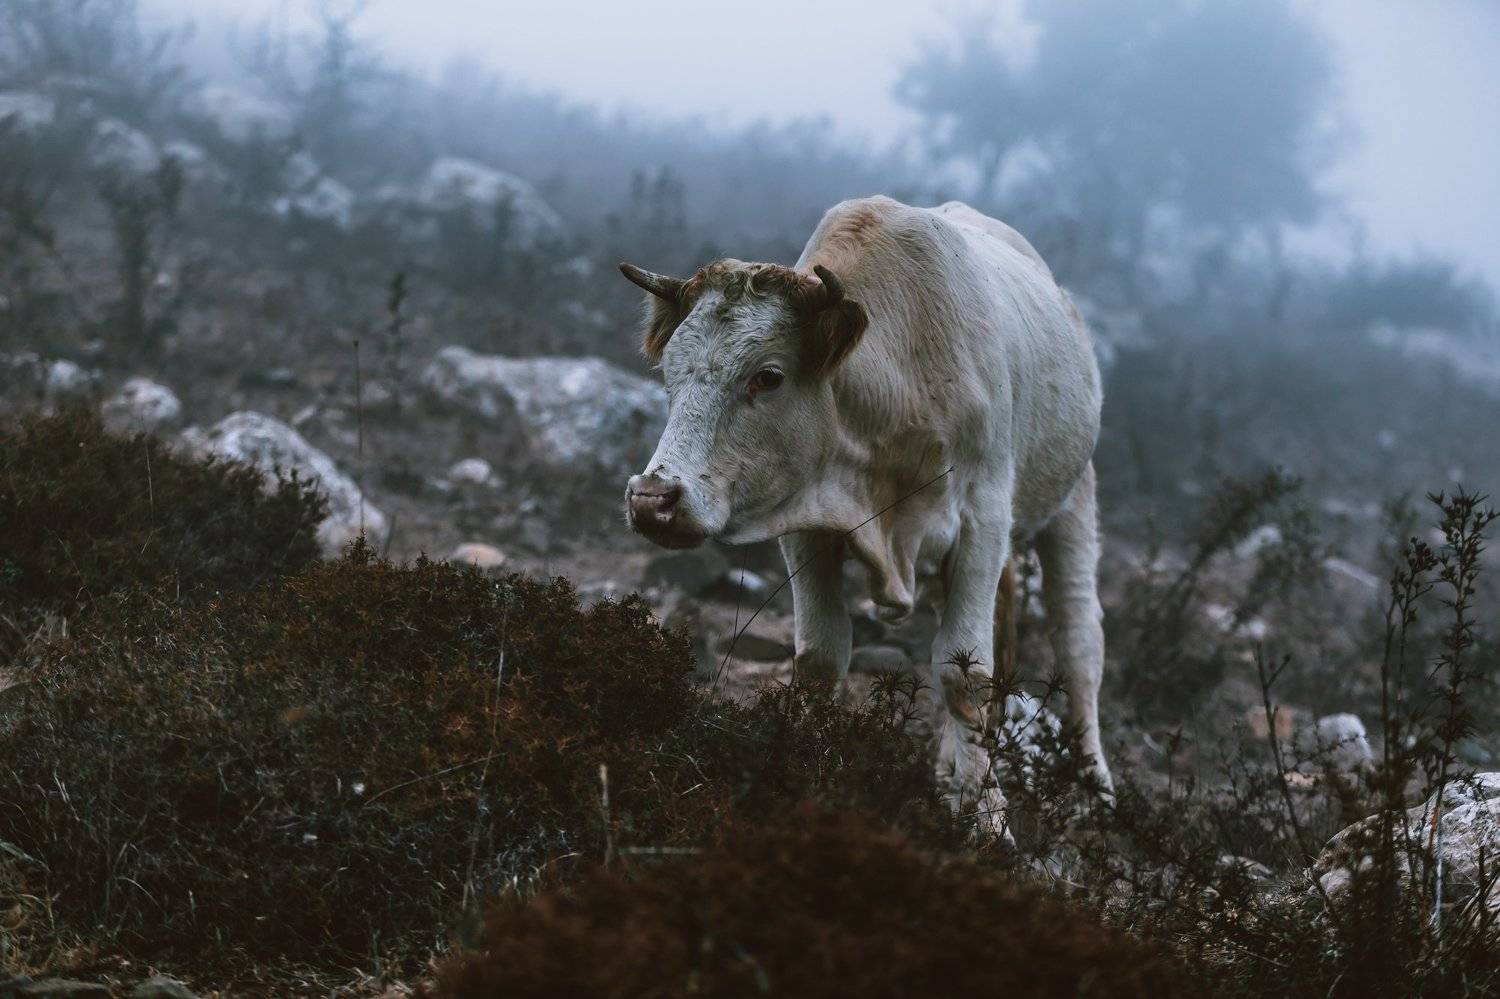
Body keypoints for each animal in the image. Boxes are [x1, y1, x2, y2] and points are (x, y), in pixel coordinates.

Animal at [619, 195, 1110, 831]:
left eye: (768, 376)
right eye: (670, 375)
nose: (653, 499)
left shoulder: (983, 521)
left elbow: (965, 674)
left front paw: (988, 821)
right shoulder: (806, 525)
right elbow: (823, 655)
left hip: (1074, 500)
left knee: (1078, 642)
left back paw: (1096, 792)